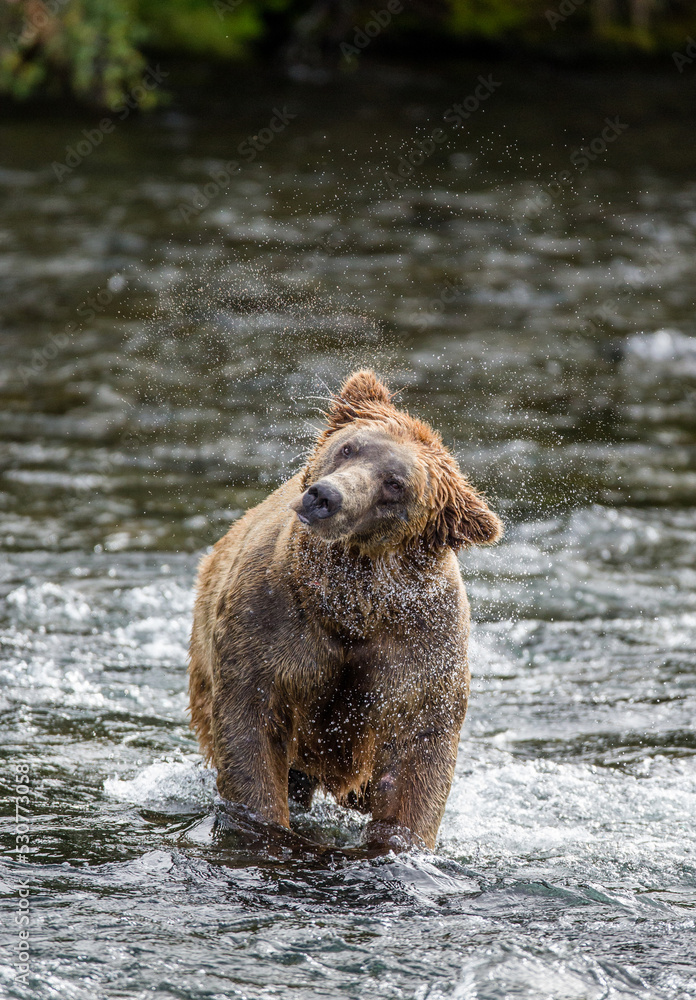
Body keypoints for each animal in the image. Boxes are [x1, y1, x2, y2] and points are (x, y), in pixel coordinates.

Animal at [188, 370, 502, 850]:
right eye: (349, 447)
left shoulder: (420, 647)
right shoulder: (268, 626)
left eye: (395, 483)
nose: (324, 497)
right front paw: (266, 823)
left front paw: (397, 842)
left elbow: (417, 758)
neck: (352, 606)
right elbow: (251, 730)